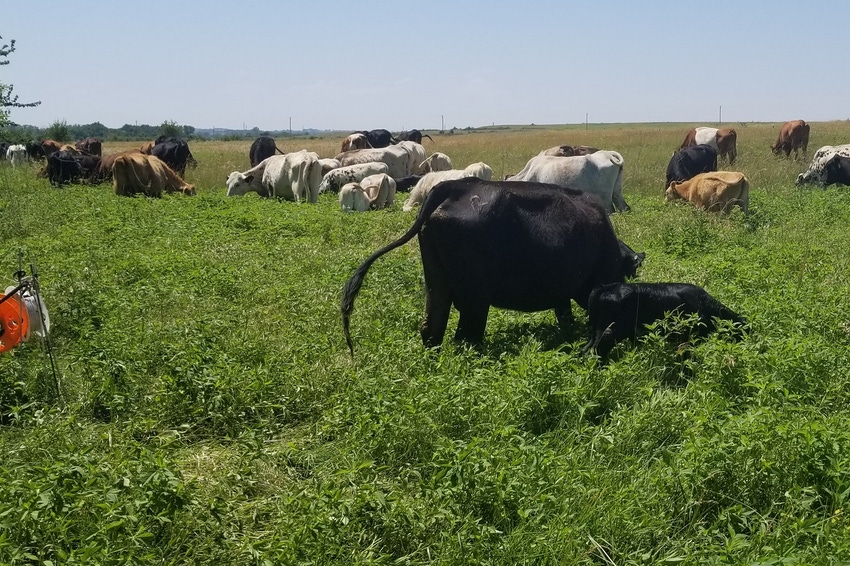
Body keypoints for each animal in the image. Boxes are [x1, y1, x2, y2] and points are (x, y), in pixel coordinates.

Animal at [338, 180, 644, 352]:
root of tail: (457, 185)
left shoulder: (561, 293)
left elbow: (564, 315)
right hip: (475, 298)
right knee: (466, 335)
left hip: (438, 284)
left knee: (432, 329)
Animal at [580, 284, 744, 360]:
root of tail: (604, 287)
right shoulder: (689, 338)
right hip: (610, 332)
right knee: (596, 351)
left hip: (596, 332)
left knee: (586, 350)